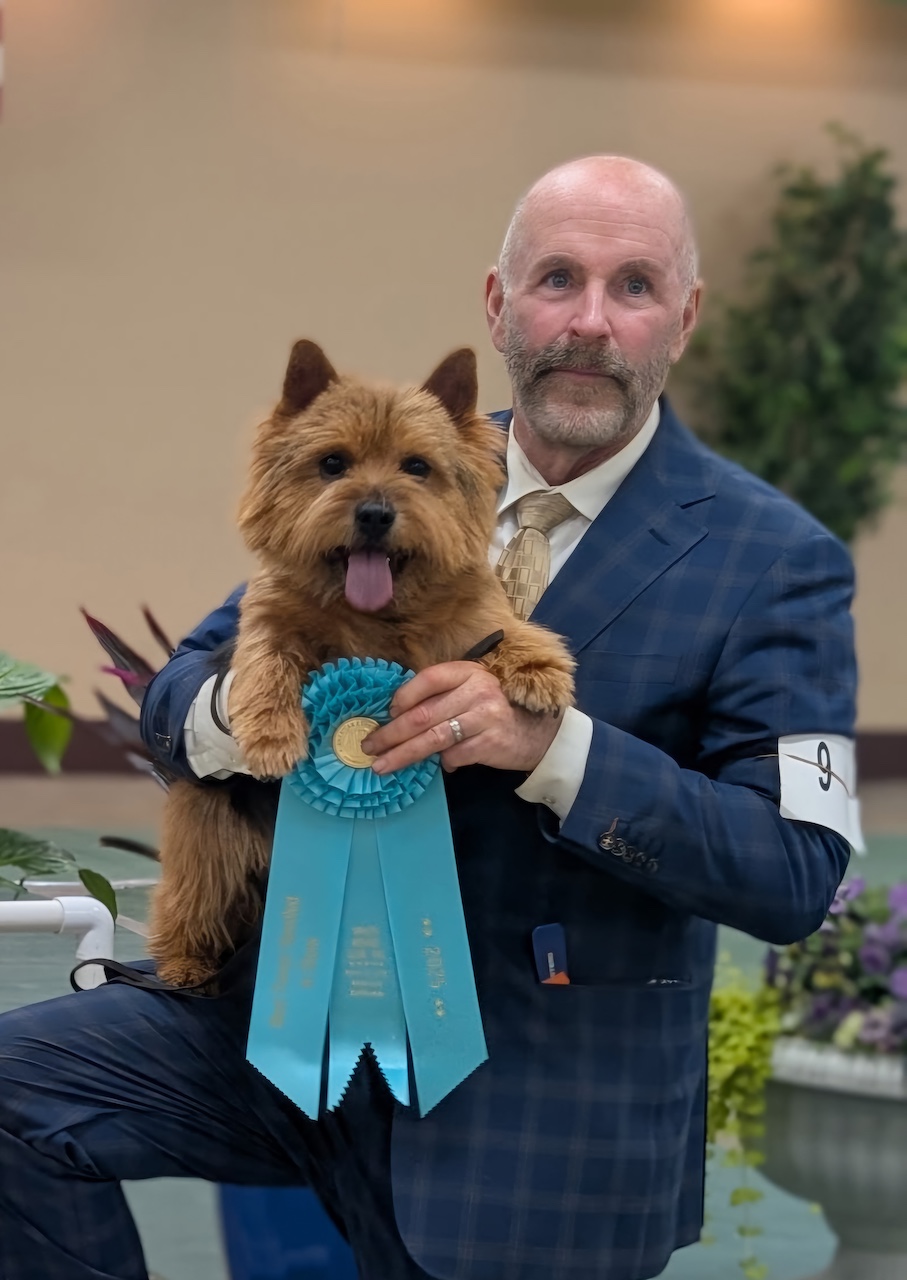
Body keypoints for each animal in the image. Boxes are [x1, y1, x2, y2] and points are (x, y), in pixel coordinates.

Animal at [149, 340, 576, 988]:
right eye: (333, 463)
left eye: (417, 467)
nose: (375, 513)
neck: (376, 610)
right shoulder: (268, 616)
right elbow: (266, 659)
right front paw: (271, 735)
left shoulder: (470, 621)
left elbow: (500, 628)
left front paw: (540, 669)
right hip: (205, 832)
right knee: (190, 898)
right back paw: (184, 962)